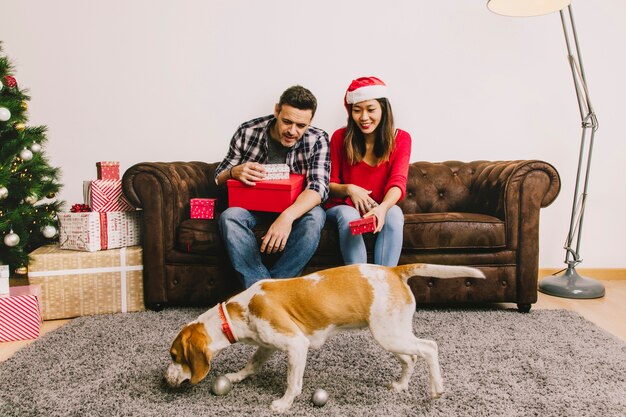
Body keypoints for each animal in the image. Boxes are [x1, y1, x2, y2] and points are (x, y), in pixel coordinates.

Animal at [165, 262, 482, 412]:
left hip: (389, 334)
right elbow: (251, 364)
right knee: (411, 358)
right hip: (391, 332)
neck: (236, 312)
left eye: (174, 356)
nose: (166, 379)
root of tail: (394, 270)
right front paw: (235, 377)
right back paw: (402, 385)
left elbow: (292, 382)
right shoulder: (267, 345)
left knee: (429, 347)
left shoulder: (296, 345)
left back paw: (436, 388)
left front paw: (284, 404)